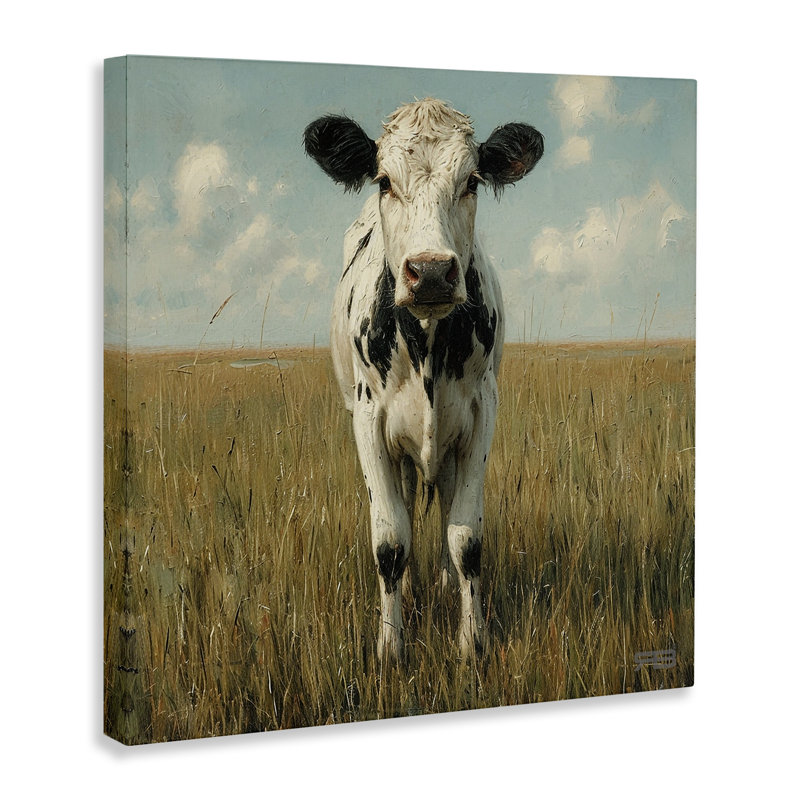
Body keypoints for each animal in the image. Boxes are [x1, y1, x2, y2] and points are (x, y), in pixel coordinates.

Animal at [304, 99, 543, 663]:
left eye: (472, 180)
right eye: (384, 181)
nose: (431, 272)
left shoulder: (481, 411)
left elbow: (466, 537)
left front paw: (471, 642)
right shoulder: (368, 418)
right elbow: (390, 539)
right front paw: (391, 648)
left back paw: (439, 582)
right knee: (409, 503)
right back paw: (411, 589)